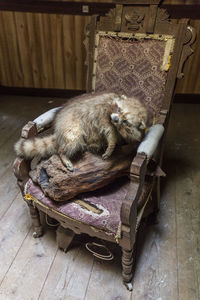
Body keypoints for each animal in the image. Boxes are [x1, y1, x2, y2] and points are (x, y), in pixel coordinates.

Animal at [14, 92, 149, 170]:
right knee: (73, 139)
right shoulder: (102, 113)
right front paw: (111, 144)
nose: (115, 119)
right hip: (71, 125)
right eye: (119, 110)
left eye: (125, 121)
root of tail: (58, 132)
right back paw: (63, 154)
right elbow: (109, 131)